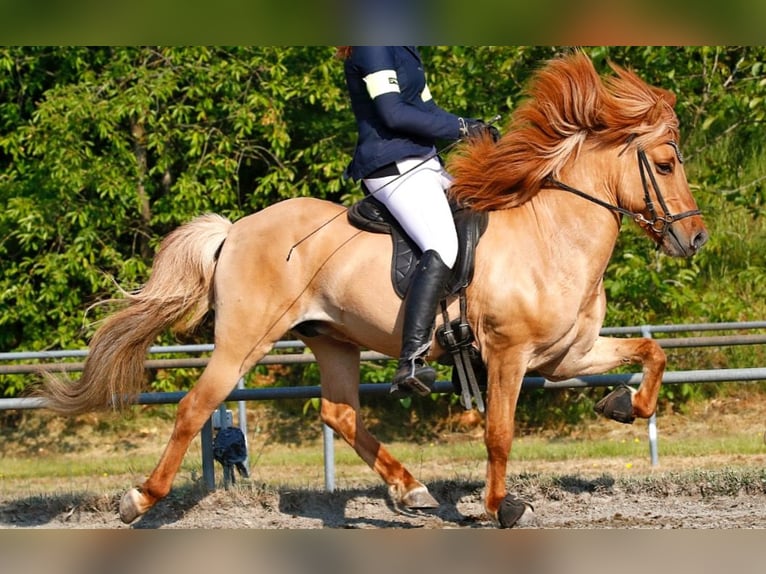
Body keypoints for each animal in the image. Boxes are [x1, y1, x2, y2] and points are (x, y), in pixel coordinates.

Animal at [40, 52, 708, 528]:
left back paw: (410, 490)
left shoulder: (567, 354)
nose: (695, 238)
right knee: (195, 408)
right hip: (243, 340)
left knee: (338, 413)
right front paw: (503, 507)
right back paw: (138, 500)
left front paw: (622, 404)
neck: (551, 236)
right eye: (666, 164)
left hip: (332, 338)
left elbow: (654, 354)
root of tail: (236, 229)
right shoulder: (508, 355)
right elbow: (498, 432)